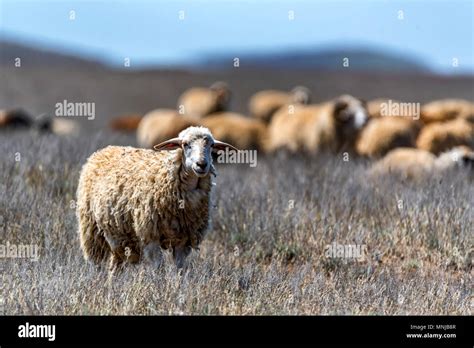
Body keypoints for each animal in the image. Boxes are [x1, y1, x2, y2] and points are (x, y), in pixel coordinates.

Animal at [78, 126, 241, 270]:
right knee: (95, 263)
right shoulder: (151, 236)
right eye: (185, 144)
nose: (202, 164)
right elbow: (158, 269)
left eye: (212, 145)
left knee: (115, 267)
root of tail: (103, 150)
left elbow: (180, 270)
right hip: (91, 229)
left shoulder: (184, 241)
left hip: (120, 237)